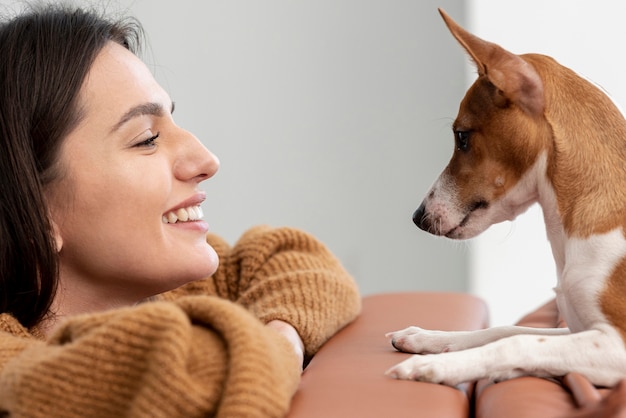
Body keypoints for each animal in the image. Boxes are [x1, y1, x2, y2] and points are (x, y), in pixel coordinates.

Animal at [382, 9, 626, 386]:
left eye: (462, 137)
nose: (418, 217)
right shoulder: (576, 330)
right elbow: (504, 330)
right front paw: (430, 339)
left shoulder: (615, 343)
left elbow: (516, 342)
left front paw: (437, 366)